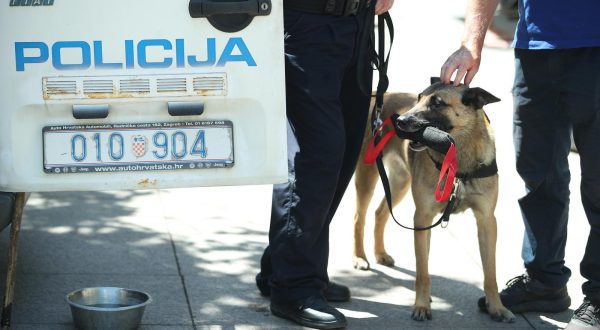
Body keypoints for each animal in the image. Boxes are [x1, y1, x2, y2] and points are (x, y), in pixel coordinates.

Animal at [352, 82, 516, 322]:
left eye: (437, 103)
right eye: (418, 98)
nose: (399, 121)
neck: (459, 161)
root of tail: (379, 95)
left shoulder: (486, 221)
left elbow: (490, 274)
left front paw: (496, 307)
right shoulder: (422, 218)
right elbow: (422, 272)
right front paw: (421, 305)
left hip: (400, 181)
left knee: (380, 212)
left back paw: (380, 253)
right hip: (369, 173)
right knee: (359, 217)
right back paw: (359, 257)